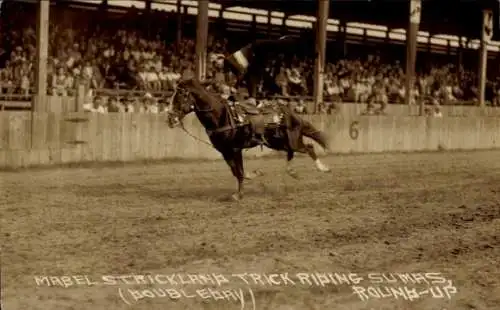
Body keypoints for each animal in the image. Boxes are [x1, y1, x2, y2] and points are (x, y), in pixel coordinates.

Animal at [167, 78, 332, 201]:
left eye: (180, 96)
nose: (170, 119)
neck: (222, 116)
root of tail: (290, 112)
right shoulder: (224, 151)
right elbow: (235, 171)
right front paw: (252, 175)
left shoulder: (235, 149)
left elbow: (239, 171)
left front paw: (239, 194)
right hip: (278, 142)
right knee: (292, 152)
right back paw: (292, 172)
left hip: (292, 140)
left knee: (309, 147)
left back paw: (323, 168)